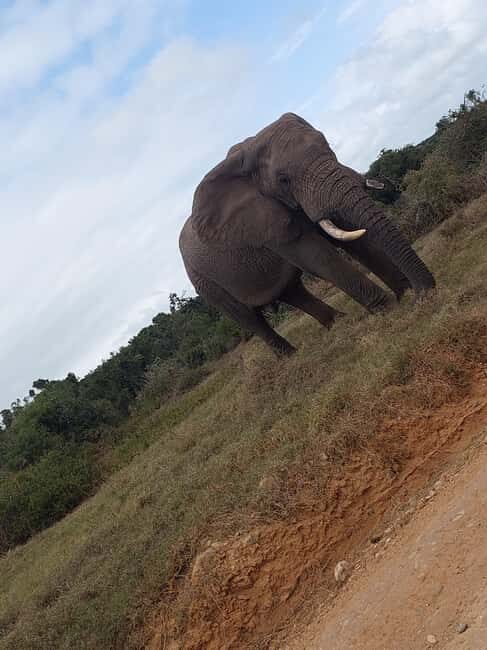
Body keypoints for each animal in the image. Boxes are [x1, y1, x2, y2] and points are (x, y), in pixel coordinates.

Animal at [179, 113, 435, 355]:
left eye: (328, 145)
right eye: (283, 179)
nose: (424, 296)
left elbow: (355, 239)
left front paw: (405, 294)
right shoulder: (263, 223)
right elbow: (317, 256)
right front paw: (390, 308)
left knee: (292, 291)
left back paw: (340, 322)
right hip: (205, 283)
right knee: (248, 317)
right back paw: (290, 357)